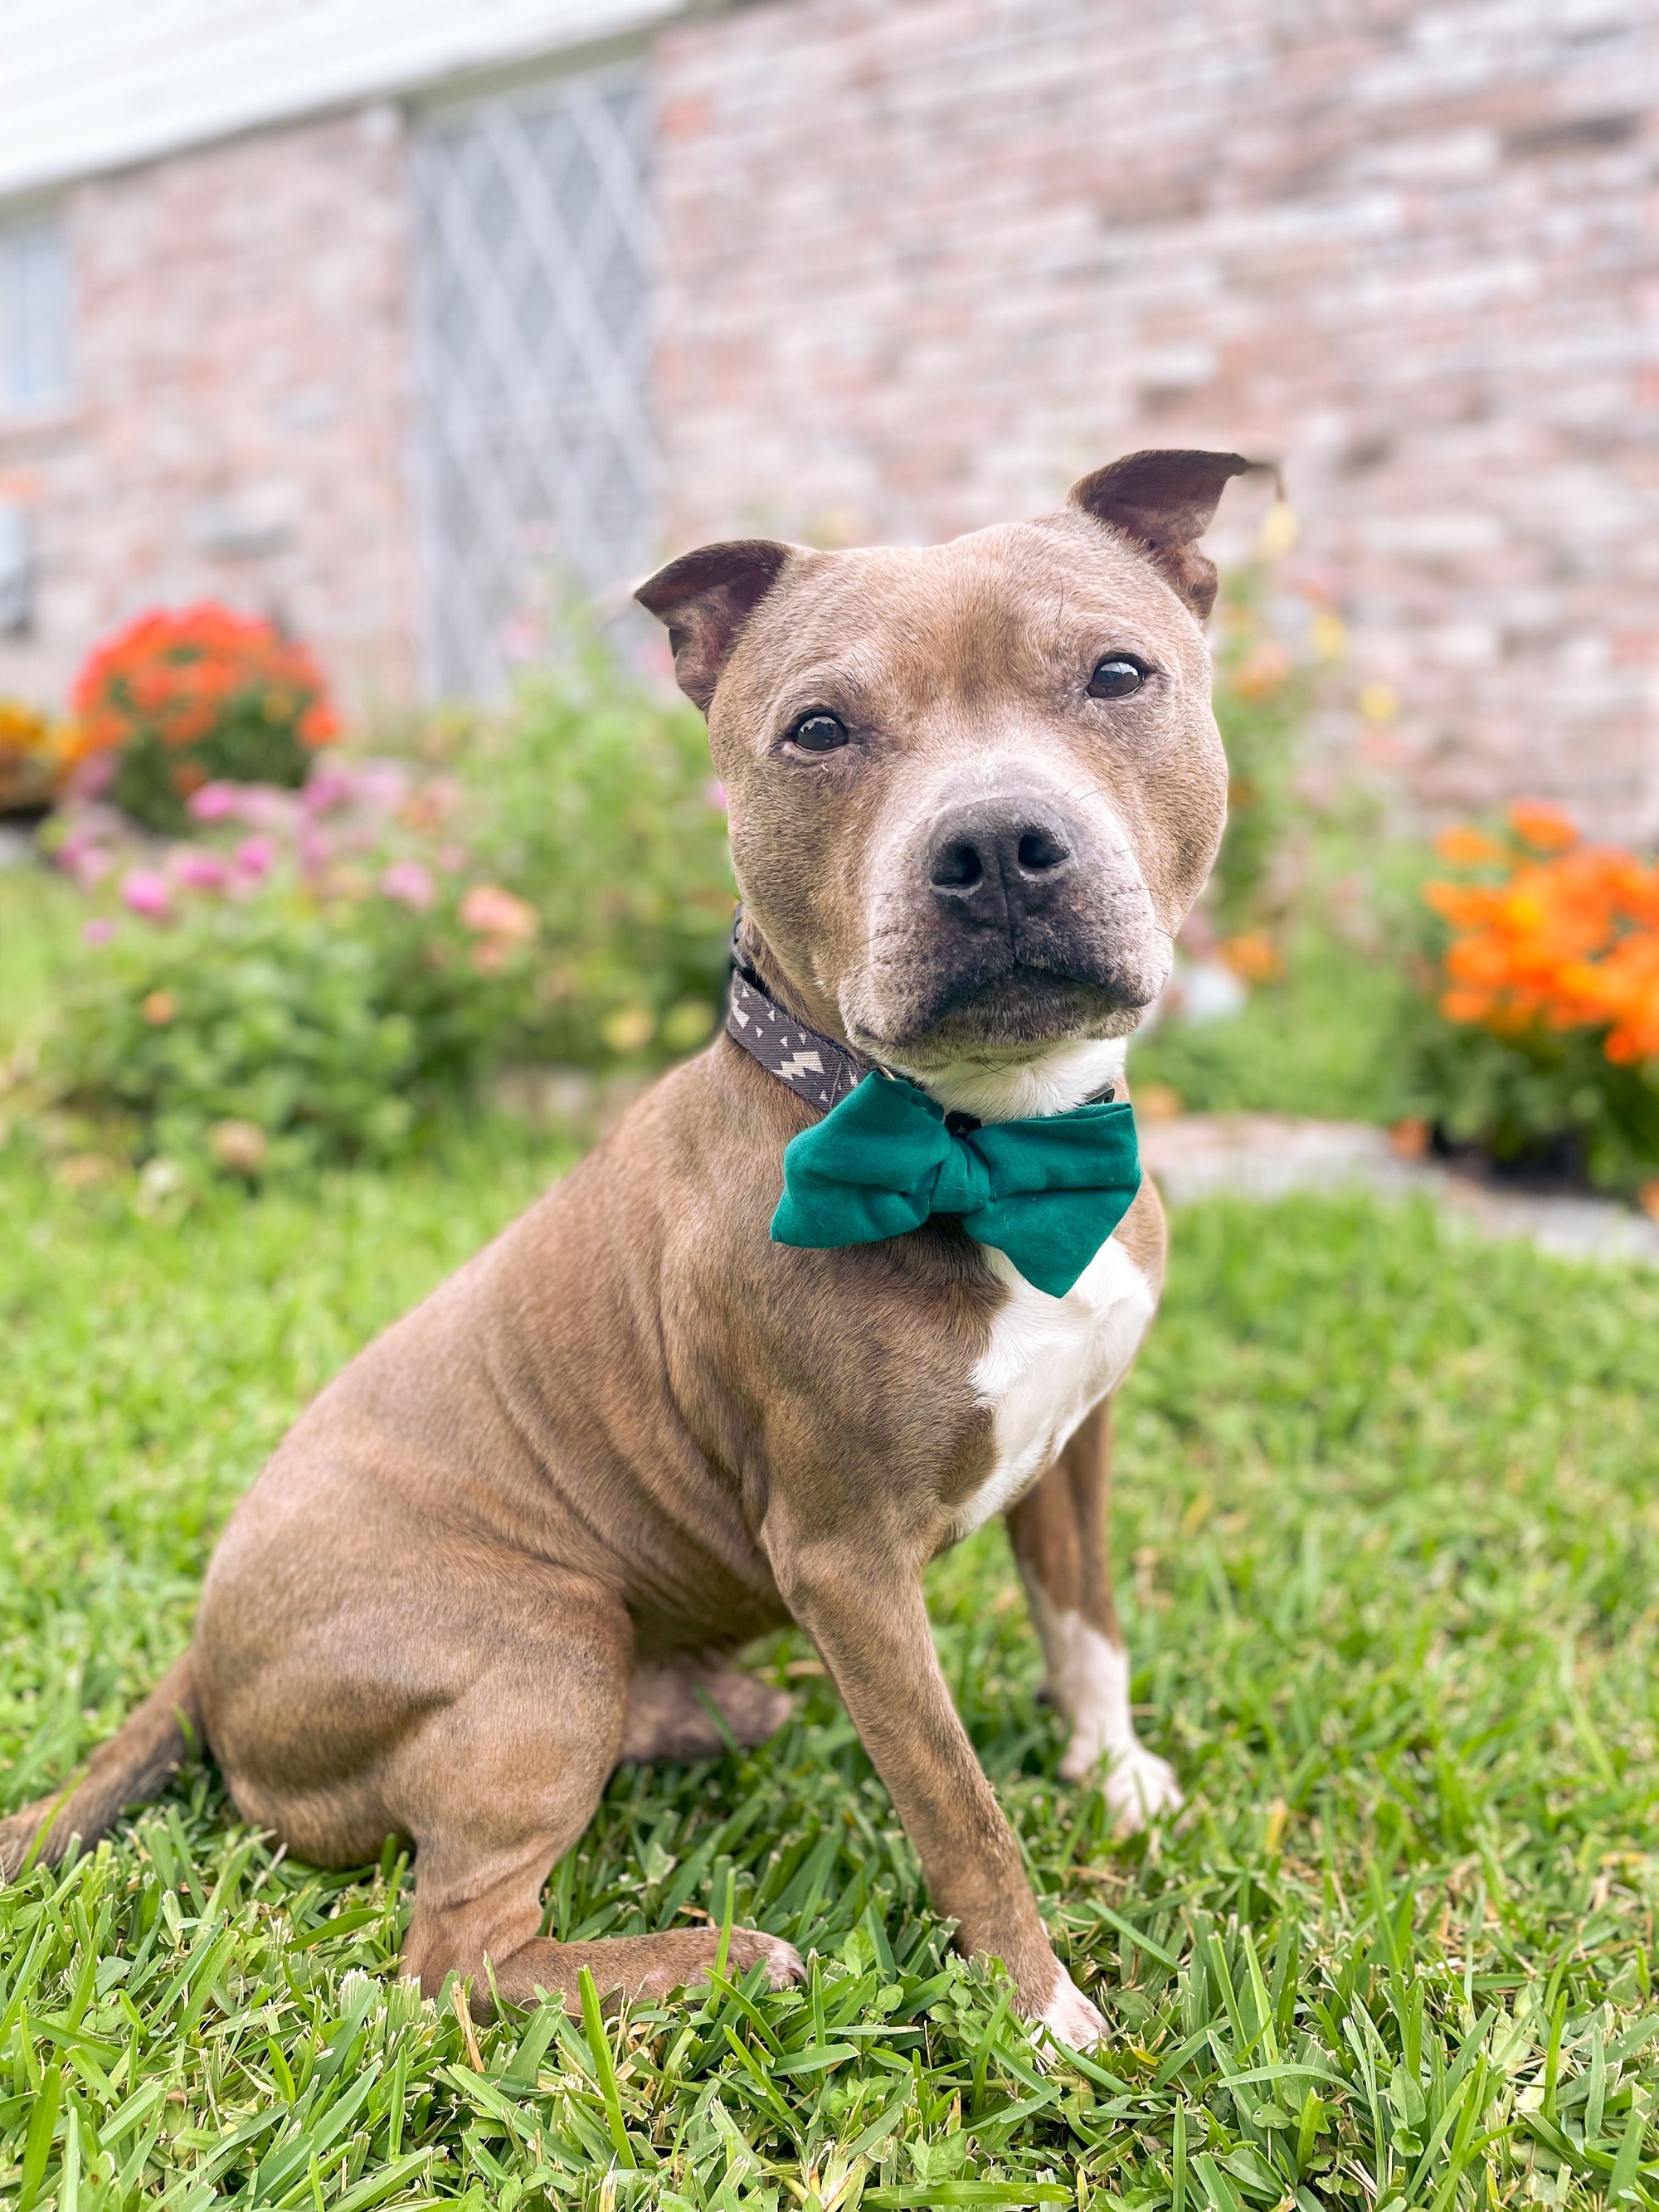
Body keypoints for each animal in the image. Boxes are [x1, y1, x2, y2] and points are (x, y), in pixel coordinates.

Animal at [0, 453, 1256, 2052]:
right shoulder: (848, 1564)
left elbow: (1083, 1616)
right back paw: (719, 1957)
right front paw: (1041, 2015)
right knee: (454, 1958)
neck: (982, 1143)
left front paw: (1117, 1775)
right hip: (540, 1653)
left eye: (1116, 673)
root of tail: (208, 1651)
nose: (991, 848)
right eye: (819, 728)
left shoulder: (1078, 1430)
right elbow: (961, 1807)